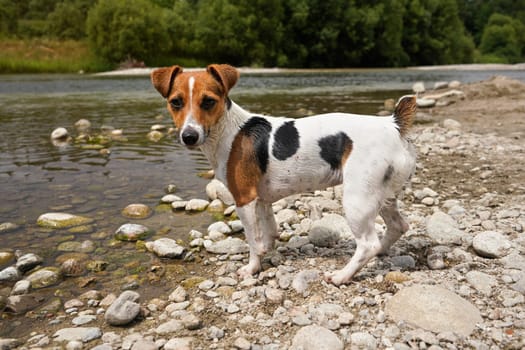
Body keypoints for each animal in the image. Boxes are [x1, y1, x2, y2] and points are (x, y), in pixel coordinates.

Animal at [151, 65, 418, 284]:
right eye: (176, 102)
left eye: (208, 101)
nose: (189, 136)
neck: (229, 130)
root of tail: (392, 124)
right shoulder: (262, 200)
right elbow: (268, 234)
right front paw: (266, 254)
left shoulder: (244, 200)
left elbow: (252, 240)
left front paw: (251, 269)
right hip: (383, 195)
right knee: (398, 226)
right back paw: (381, 252)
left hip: (357, 200)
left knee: (368, 244)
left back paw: (342, 275)